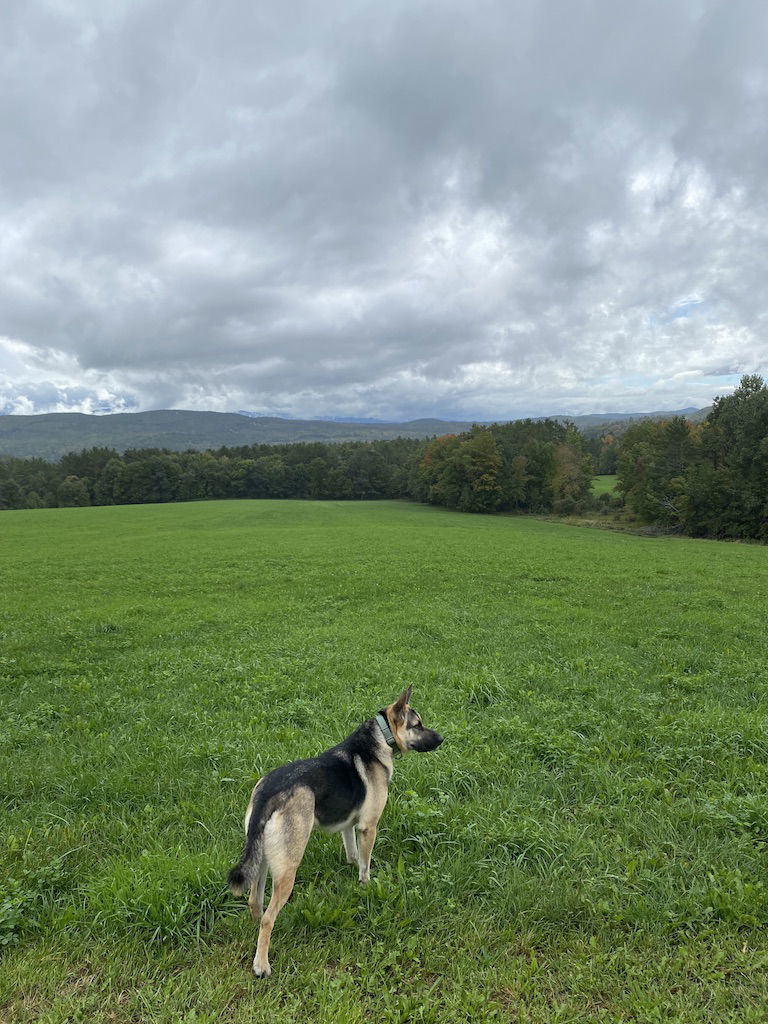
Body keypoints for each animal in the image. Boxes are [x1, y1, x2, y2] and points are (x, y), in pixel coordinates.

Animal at [228, 688, 442, 974]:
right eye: (417, 725)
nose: (442, 738)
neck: (380, 736)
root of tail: (268, 793)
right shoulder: (368, 827)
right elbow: (365, 864)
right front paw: (365, 887)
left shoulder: (349, 826)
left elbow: (353, 855)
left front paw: (352, 869)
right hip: (288, 868)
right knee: (268, 918)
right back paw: (261, 964)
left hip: (261, 859)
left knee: (255, 902)